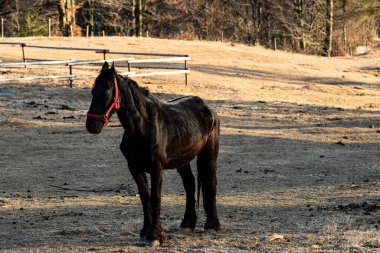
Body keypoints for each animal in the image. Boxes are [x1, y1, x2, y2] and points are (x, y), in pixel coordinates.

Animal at [84, 62, 218, 246]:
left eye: (105, 91)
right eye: (92, 91)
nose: (91, 125)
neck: (142, 127)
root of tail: (209, 109)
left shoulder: (156, 168)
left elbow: (155, 198)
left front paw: (155, 236)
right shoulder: (135, 168)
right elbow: (145, 198)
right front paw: (145, 232)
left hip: (209, 155)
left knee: (210, 184)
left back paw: (212, 225)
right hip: (182, 161)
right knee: (190, 185)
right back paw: (187, 224)